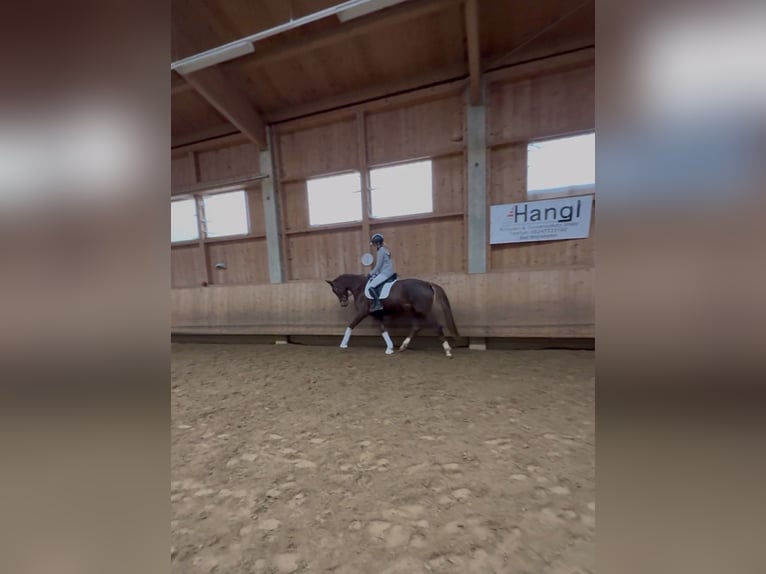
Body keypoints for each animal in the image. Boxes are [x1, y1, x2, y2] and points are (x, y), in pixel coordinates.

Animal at [326, 274, 460, 358]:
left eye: (335, 289)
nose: (343, 303)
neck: (360, 288)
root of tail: (428, 284)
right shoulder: (377, 315)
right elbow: (383, 330)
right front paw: (389, 348)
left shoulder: (362, 313)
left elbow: (350, 326)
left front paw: (343, 344)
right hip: (415, 311)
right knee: (416, 327)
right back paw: (403, 346)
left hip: (424, 311)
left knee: (437, 327)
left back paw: (448, 351)